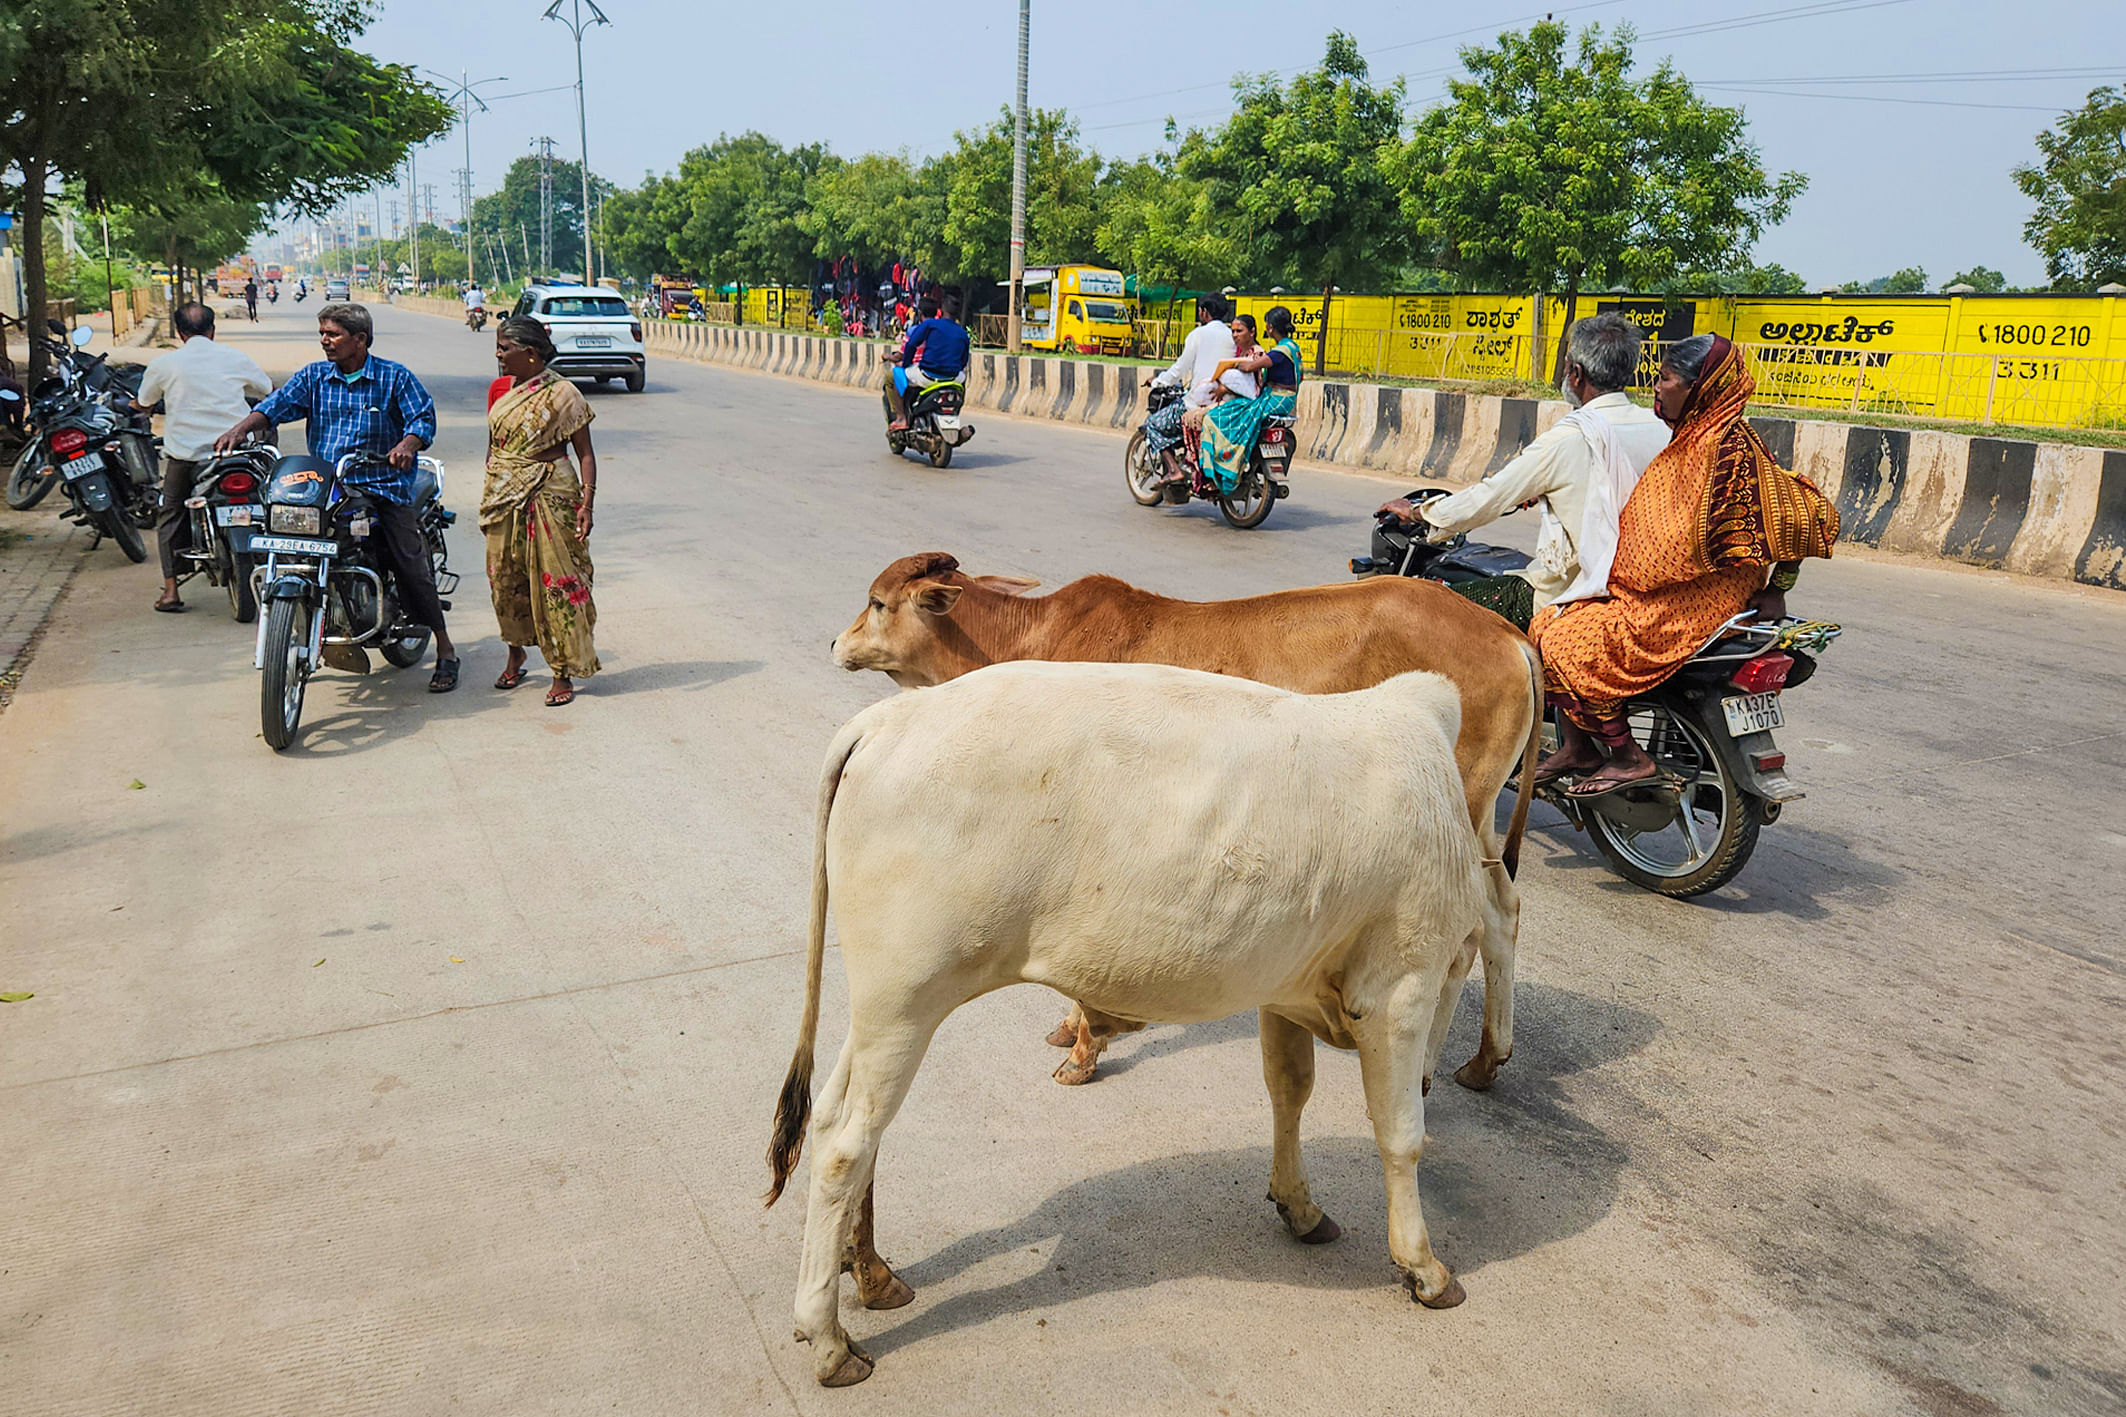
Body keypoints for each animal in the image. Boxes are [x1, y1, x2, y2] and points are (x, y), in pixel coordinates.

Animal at [765, 662, 1496, 1385]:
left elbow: (1289, 1092)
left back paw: (871, 1276)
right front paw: (1424, 1267)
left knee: (833, 1121)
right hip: (906, 998)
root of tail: (888, 717)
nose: (1430, 1078)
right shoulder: (1402, 985)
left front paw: (1299, 1205)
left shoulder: (1287, 986)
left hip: (883, 1009)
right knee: (846, 1147)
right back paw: (828, 1340)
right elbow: (1401, 1136)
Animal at [829, 548, 1547, 1096]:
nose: (836, 642)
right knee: (1502, 913)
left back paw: (1428, 1071)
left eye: (878, 603)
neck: (1032, 641)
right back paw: (1484, 1061)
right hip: (1474, 824)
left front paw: (1083, 1049)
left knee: (1466, 937)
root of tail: (1509, 634)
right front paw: (1070, 1029)